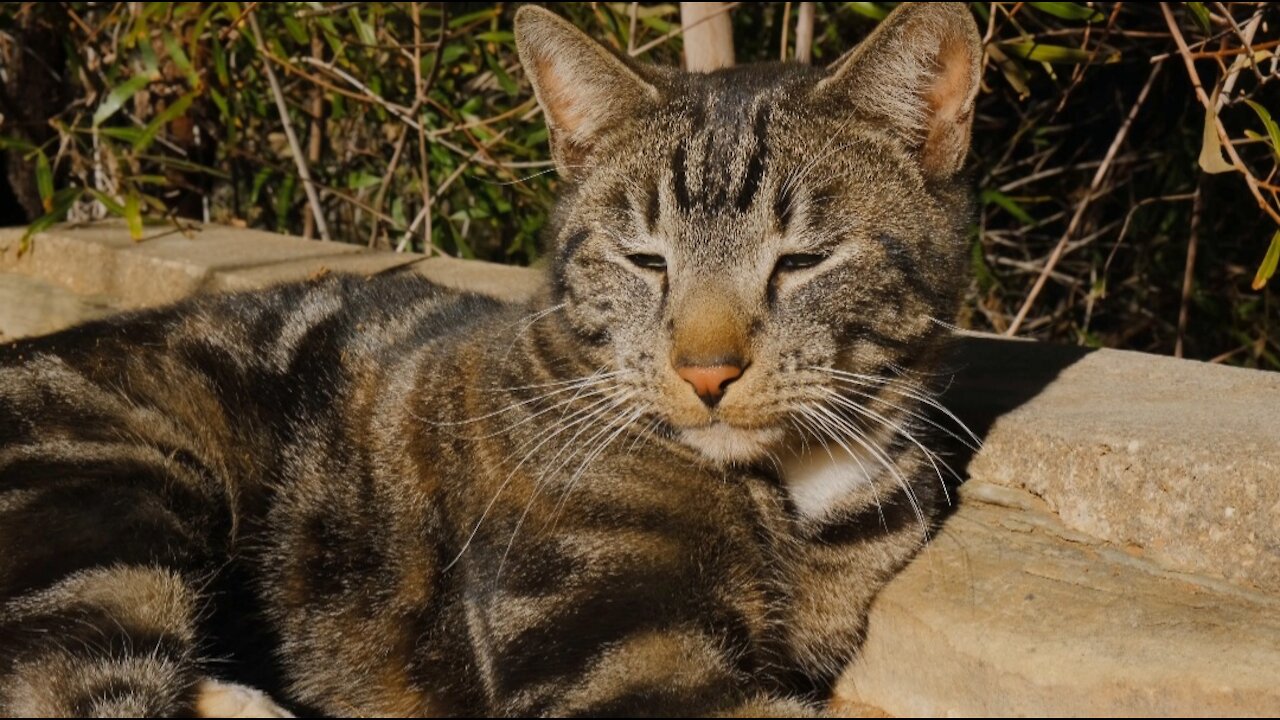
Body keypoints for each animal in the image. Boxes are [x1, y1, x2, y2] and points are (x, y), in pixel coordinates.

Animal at [0, 4, 977, 712]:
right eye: (645, 259)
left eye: (803, 260)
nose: (708, 373)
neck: (792, 499)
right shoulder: (617, 654)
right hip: (113, 501)